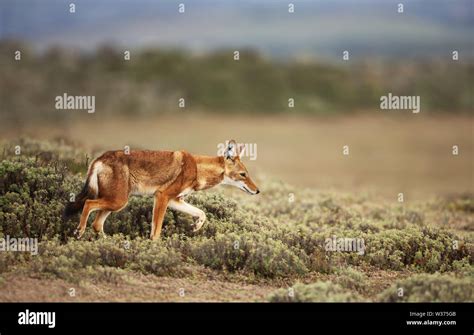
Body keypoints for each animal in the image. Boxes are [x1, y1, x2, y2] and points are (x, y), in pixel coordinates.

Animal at [64, 140, 260, 240]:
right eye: (243, 175)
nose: (257, 191)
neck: (197, 169)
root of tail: (99, 158)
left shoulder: (175, 200)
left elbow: (202, 213)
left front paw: (196, 226)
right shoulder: (162, 196)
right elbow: (156, 231)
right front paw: (154, 248)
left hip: (116, 204)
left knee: (97, 224)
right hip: (118, 202)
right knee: (88, 205)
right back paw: (79, 232)